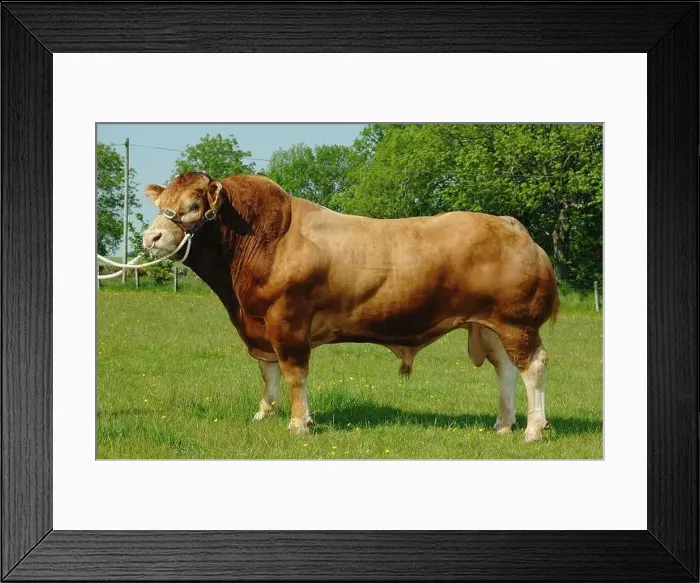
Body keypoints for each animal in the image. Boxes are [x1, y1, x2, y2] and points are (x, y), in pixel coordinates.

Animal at [142, 172, 560, 442]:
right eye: (161, 204)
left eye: (194, 205)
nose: (151, 237)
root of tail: (511, 225)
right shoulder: (259, 326)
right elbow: (268, 372)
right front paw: (264, 413)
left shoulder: (288, 321)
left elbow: (294, 373)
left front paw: (298, 423)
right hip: (490, 325)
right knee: (505, 369)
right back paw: (503, 424)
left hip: (517, 323)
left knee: (533, 367)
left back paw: (533, 430)